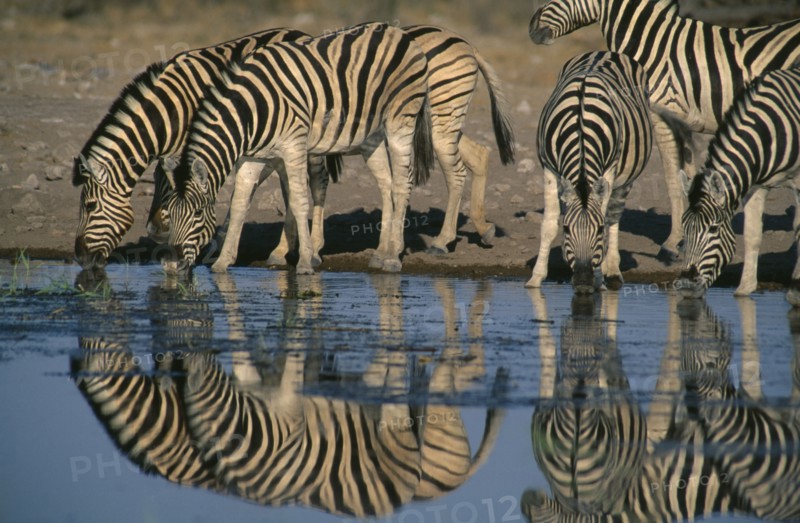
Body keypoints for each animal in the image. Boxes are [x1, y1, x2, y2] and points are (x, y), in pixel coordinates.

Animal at [163, 22, 435, 276]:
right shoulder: (253, 157)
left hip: (401, 120)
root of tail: (397, 31)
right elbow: (239, 203)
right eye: (170, 213)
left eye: (198, 213)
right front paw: (222, 262)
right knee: (386, 185)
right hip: (372, 137)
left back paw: (393, 257)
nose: (173, 265)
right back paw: (380, 253)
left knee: (401, 184)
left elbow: (299, 200)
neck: (251, 113)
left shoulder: (294, 145)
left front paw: (304, 262)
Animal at [198, 24, 516, 273]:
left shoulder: (293, 144)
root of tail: (465, 42)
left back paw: (439, 241)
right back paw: (482, 228)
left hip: (437, 115)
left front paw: (301, 250)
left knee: (453, 172)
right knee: (478, 155)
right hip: (441, 123)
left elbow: (299, 190)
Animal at [526, 51, 653, 292]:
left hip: (627, 177)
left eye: (599, 230)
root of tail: (605, 52)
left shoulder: (609, 168)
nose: (584, 282)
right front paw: (536, 278)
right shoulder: (548, 167)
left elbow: (605, 215)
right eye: (566, 229)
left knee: (614, 214)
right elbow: (548, 224)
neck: (581, 125)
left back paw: (612, 270)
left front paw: (599, 278)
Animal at [529, 0, 800, 262]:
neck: (654, 43)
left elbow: (671, 178)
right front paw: (686, 235)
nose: (532, 28)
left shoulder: (663, 114)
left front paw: (671, 244)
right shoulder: (684, 123)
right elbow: (687, 174)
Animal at [676, 67, 800, 304]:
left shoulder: (798, 181)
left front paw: (795, 290)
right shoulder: (758, 185)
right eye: (684, 227)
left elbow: (798, 228)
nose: (685, 287)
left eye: (713, 229)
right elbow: (752, 234)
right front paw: (745, 288)